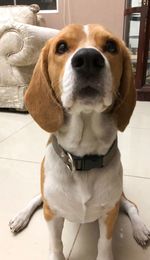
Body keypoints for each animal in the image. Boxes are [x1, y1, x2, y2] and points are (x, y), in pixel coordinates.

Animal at [9, 24, 150, 260]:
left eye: (111, 46)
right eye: (61, 47)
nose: (89, 59)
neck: (83, 157)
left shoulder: (109, 212)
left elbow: (104, 243)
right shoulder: (52, 214)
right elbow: (56, 244)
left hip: (119, 197)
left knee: (131, 206)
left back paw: (140, 229)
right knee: (37, 198)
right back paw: (20, 216)